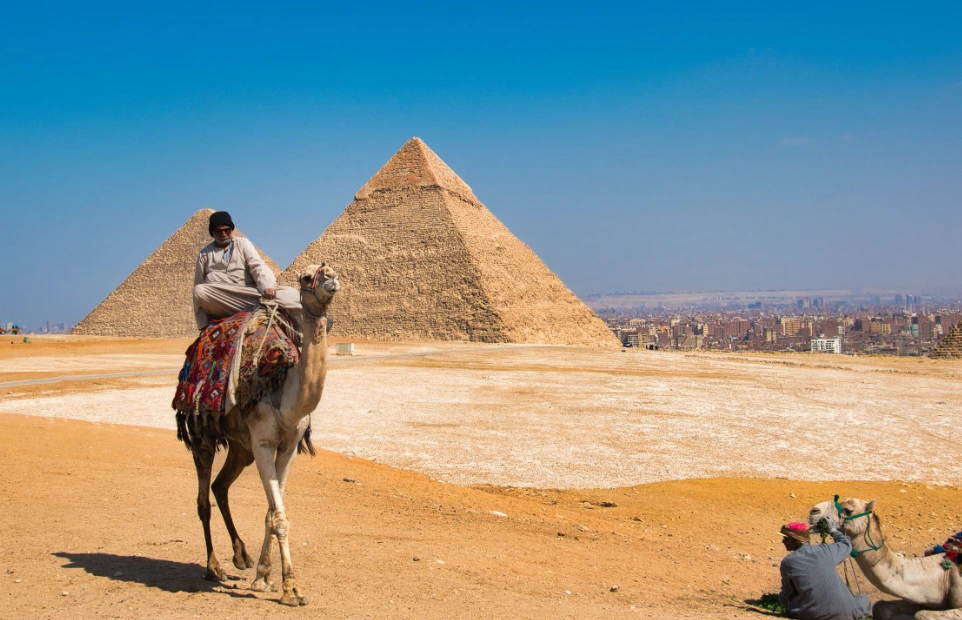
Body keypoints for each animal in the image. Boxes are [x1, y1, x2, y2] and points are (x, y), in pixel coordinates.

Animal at [177, 263, 339, 606]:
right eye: (307, 278)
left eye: (332, 269)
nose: (330, 277)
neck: (281, 384)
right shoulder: (264, 443)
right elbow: (279, 516)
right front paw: (291, 589)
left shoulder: (289, 446)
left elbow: (271, 511)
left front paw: (263, 577)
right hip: (203, 433)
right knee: (203, 499)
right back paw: (214, 568)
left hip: (241, 448)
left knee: (220, 486)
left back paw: (241, 556)